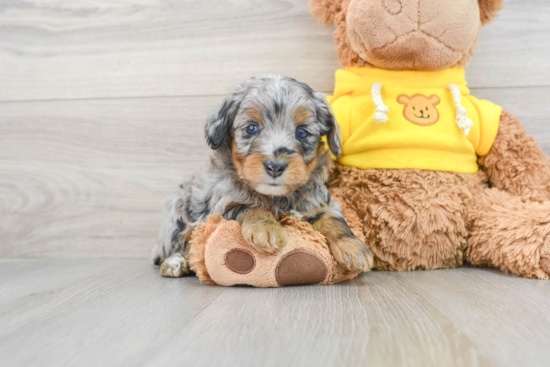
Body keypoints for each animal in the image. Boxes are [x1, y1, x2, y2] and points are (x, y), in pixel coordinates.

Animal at [152, 75, 376, 278]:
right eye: (252, 128)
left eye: (302, 132)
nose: (275, 166)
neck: (277, 197)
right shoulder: (219, 208)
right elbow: (250, 207)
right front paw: (267, 230)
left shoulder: (320, 203)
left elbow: (334, 220)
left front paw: (354, 248)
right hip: (177, 212)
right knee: (177, 244)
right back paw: (176, 263)